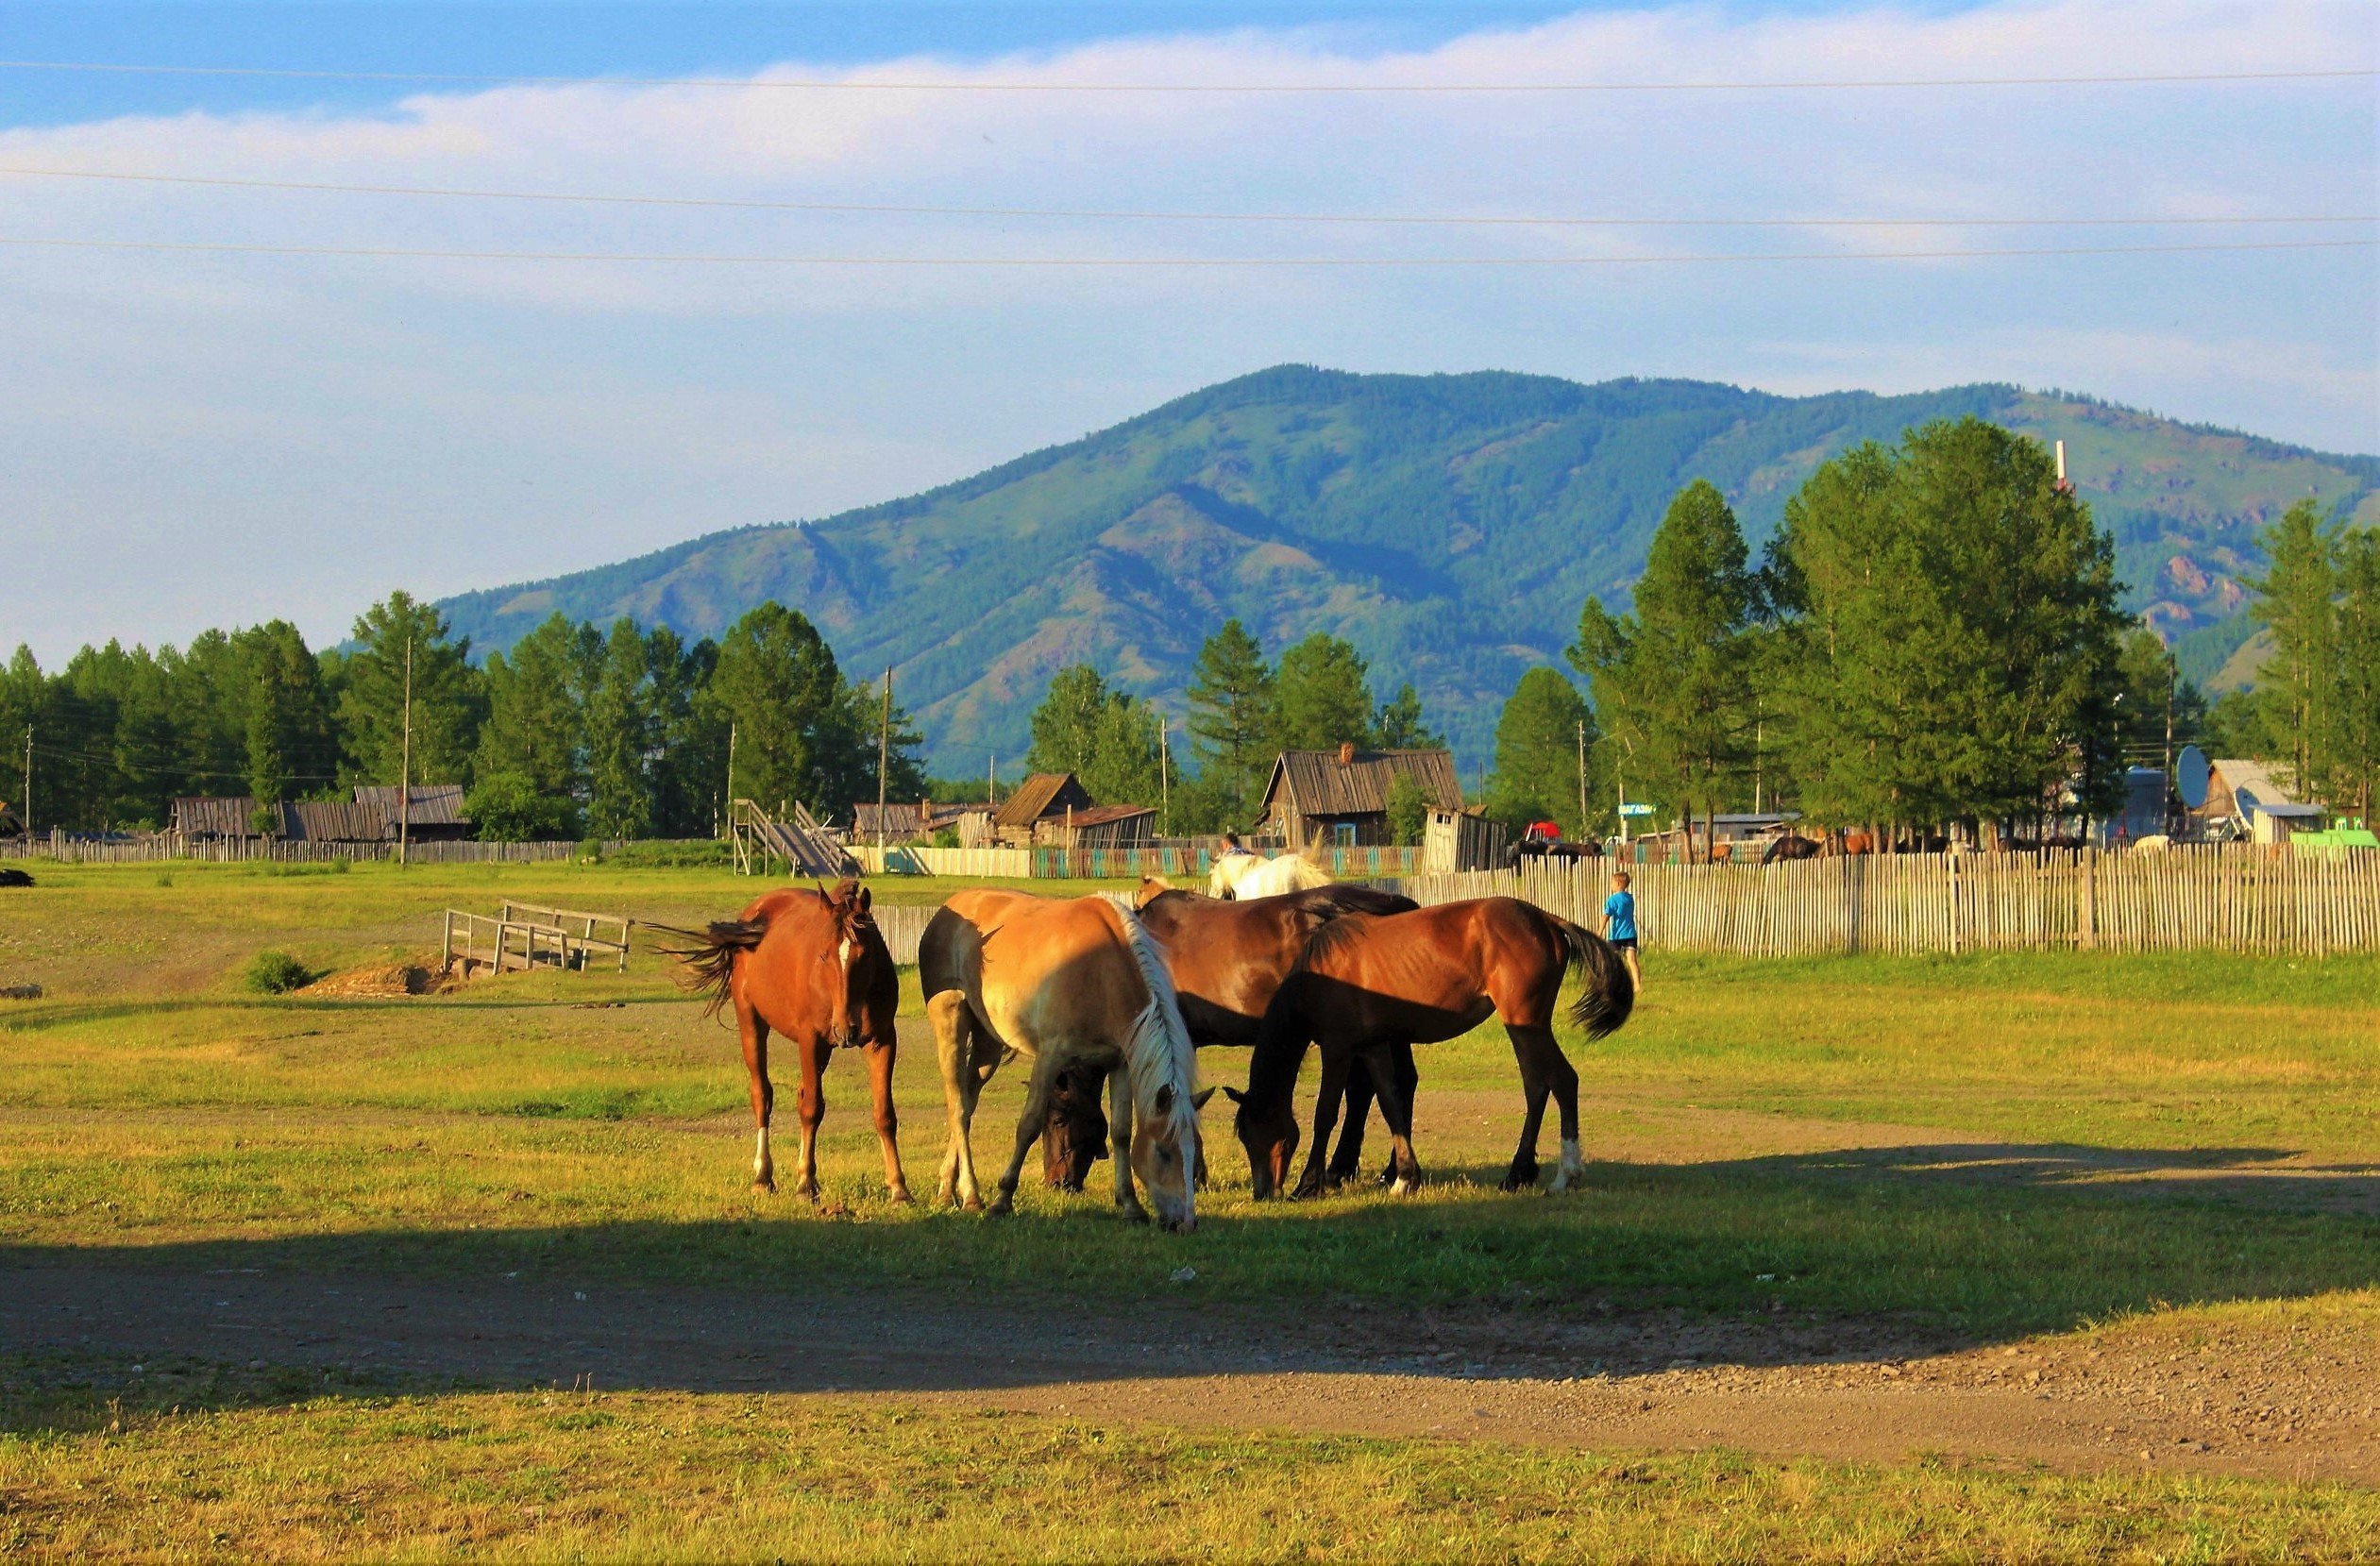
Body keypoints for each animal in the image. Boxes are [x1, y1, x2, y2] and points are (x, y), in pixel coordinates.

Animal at [651, 875, 909, 1194]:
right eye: (823, 955)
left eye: (866, 954)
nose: (845, 1029)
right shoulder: (810, 1039)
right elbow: (812, 1108)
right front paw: (807, 1184)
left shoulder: (882, 1040)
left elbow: (884, 1114)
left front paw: (899, 1188)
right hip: (752, 1022)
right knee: (762, 1095)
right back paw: (763, 1176)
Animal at [919, 884, 1199, 1227]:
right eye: (1163, 1152)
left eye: (1194, 1153)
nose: (1186, 1223)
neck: (1101, 971)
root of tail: (949, 908)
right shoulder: (1050, 1057)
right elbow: (1028, 1125)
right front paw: (1002, 1199)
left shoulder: (1119, 1063)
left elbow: (1121, 1131)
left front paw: (1131, 1205)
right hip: (950, 1020)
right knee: (957, 1107)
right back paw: (971, 1195)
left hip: (988, 1044)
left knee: (968, 1103)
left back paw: (949, 1188)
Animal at [1227, 889, 1637, 1194]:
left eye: (1252, 1134)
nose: (1263, 1192)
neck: (1320, 972)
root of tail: (1547, 921)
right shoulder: (1373, 1046)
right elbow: (1391, 1102)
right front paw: (1405, 1177)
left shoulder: (1337, 1048)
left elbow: (1325, 1113)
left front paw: (1309, 1184)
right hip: (1525, 1026)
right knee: (1538, 1086)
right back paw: (1518, 1174)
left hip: (1525, 1023)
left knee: (1561, 1082)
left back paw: (1563, 1175)